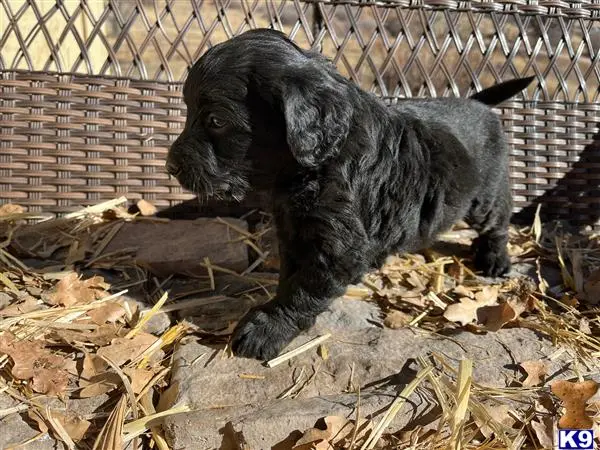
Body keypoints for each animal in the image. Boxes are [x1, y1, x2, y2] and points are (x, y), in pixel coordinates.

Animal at [165, 29, 536, 358]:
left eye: (215, 120)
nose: (170, 166)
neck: (319, 162)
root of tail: (478, 104)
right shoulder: (295, 229)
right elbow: (291, 276)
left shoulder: (339, 249)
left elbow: (303, 288)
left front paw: (265, 330)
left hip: (486, 195)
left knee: (498, 221)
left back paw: (495, 260)